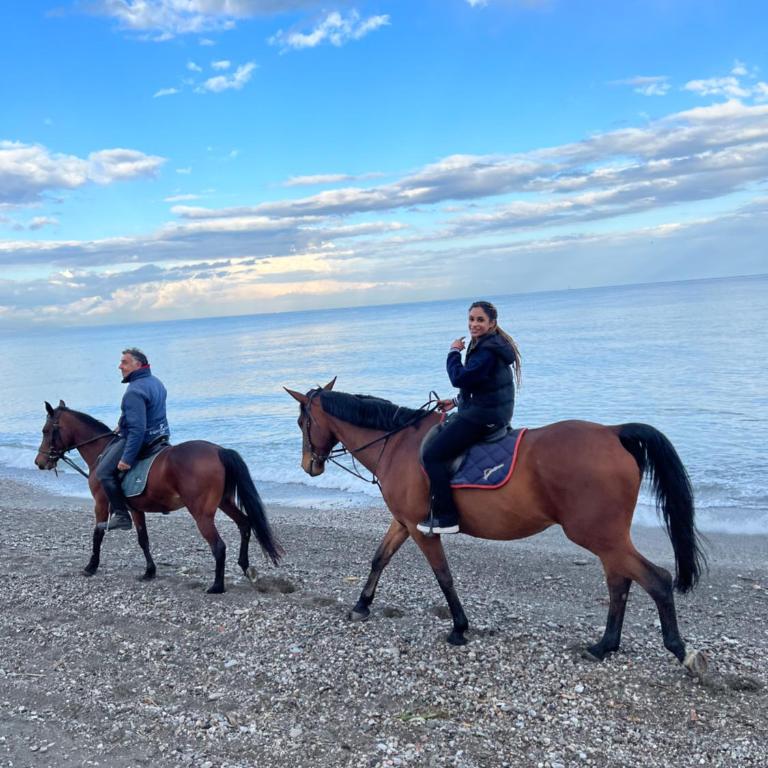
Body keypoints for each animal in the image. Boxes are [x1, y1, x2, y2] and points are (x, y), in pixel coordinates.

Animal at [35, 401, 283, 593]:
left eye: (46, 430)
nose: (39, 462)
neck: (102, 450)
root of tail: (218, 451)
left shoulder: (101, 503)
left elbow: (98, 533)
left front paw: (91, 566)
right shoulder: (135, 509)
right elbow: (143, 539)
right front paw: (149, 571)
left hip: (202, 514)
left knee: (219, 546)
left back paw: (216, 586)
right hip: (225, 502)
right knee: (245, 525)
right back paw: (246, 568)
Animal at [285, 379, 708, 675]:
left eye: (302, 421)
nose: (309, 465)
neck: (399, 444)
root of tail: (611, 432)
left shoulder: (422, 529)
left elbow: (443, 576)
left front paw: (459, 627)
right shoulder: (403, 522)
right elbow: (379, 559)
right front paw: (361, 605)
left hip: (599, 535)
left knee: (655, 579)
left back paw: (680, 651)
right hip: (607, 538)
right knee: (620, 582)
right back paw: (605, 645)